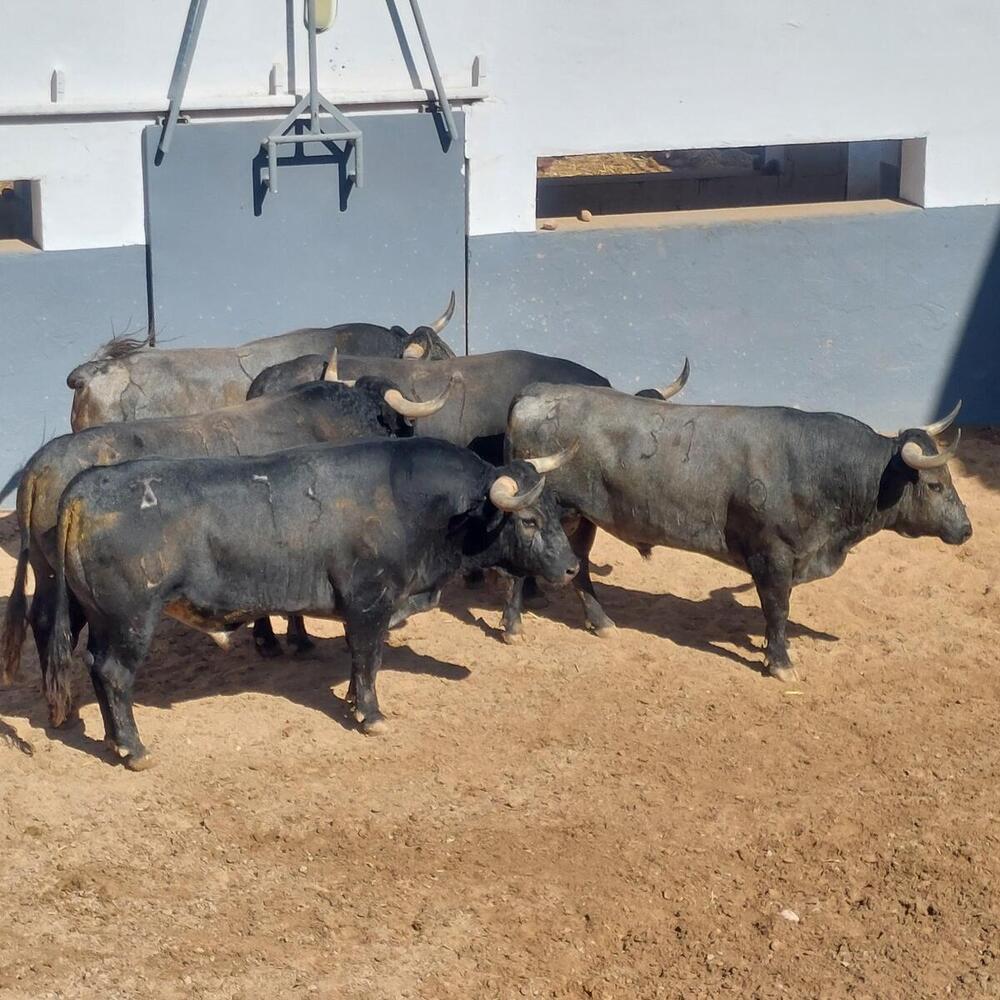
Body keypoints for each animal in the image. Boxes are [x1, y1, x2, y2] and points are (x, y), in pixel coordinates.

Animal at [45, 438, 580, 764]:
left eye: (555, 509)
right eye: (528, 520)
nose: (573, 568)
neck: (415, 501)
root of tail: (88, 485)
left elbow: (363, 661)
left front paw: (352, 702)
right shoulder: (369, 602)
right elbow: (367, 657)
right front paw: (371, 715)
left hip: (100, 619)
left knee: (95, 669)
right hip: (131, 620)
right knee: (114, 673)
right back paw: (133, 748)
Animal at [504, 384, 972, 680]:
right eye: (935, 484)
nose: (966, 529)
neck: (820, 466)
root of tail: (533, 393)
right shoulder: (773, 556)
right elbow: (777, 609)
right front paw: (780, 663)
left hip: (582, 517)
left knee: (580, 565)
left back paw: (601, 622)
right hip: (540, 512)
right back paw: (512, 625)